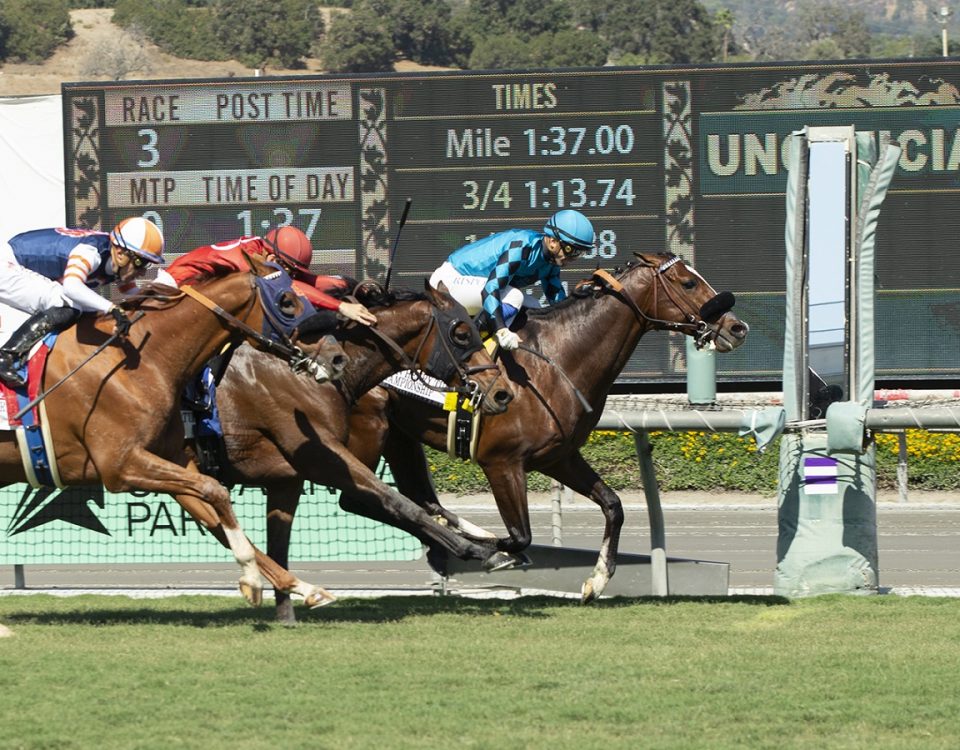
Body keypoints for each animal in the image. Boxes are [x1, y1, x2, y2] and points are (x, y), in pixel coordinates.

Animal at [0, 262, 344, 608]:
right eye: (287, 301)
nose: (337, 357)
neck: (140, 360)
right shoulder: (120, 466)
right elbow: (216, 491)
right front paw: (251, 578)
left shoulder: (172, 460)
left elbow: (213, 512)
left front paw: (302, 587)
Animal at [190, 282, 512, 624]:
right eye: (461, 333)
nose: (502, 393)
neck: (306, 373)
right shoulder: (322, 457)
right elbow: (399, 503)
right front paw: (482, 551)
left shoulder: (289, 474)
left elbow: (280, 540)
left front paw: (286, 612)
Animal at [344, 253, 752, 604]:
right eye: (688, 282)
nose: (738, 327)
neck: (556, 360)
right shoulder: (502, 462)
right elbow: (519, 537)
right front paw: (491, 553)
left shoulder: (559, 457)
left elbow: (613, 505)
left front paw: (596, 580)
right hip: (370, 428)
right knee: (361, 498)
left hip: (399, 435)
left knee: (420, 499)